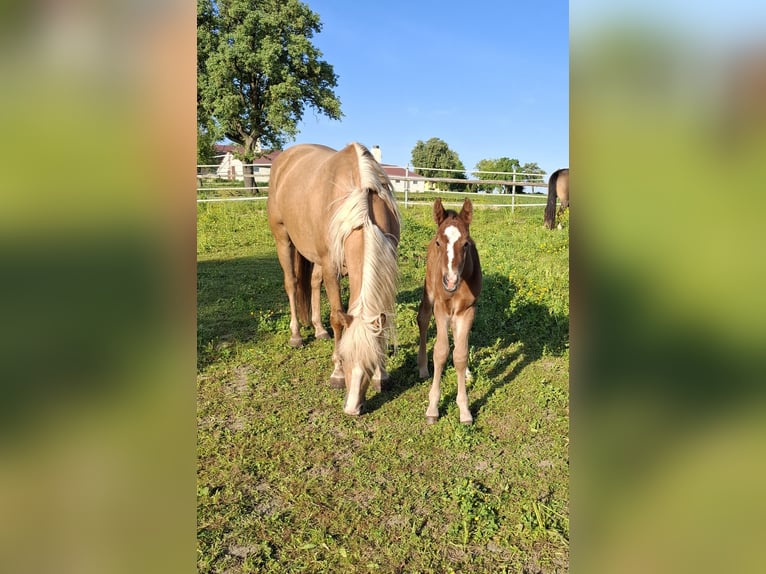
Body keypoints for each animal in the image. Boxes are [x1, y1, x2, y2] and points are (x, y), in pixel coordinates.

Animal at [267, 143, 400, 416]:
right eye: (347, 359)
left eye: (370, 364)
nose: (352, 408)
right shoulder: (331, 268)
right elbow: (338, 319)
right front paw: (337, 374)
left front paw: (381, 375)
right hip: (283, 238)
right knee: (291, 284)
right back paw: (296, 336)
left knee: (313, 283)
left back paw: (318, 330)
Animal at [417, 198, 482, 424]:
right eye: (439, 242)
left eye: (466, 243)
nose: (450, 281)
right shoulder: (441, 309)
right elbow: (441, 352)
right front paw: (432, 408)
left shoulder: (468, 310)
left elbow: (460, 354)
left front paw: (464, 410)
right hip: (429, 293)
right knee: (422, 319)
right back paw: (422, 368)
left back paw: (468, 373)